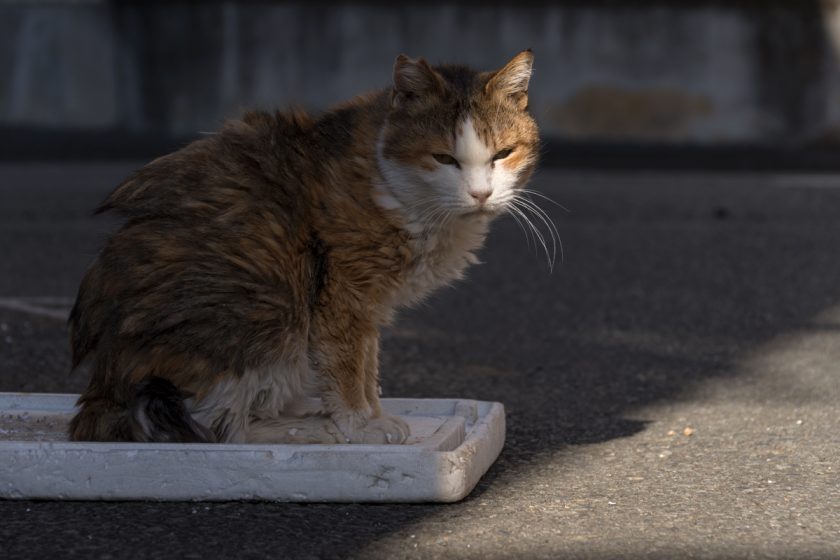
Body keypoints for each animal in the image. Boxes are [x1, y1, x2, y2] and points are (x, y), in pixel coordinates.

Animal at [65, 50, 540, 444]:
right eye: (444, 159)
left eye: (503, 154)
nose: (480, 194)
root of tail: (102, 392)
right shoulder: (342, 293)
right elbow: (346, 365)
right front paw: (358, 425)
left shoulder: (368, 303)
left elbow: (367, 363)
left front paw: (372, 415)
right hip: (270, 306)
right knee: (224, 429)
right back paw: (310, 430)